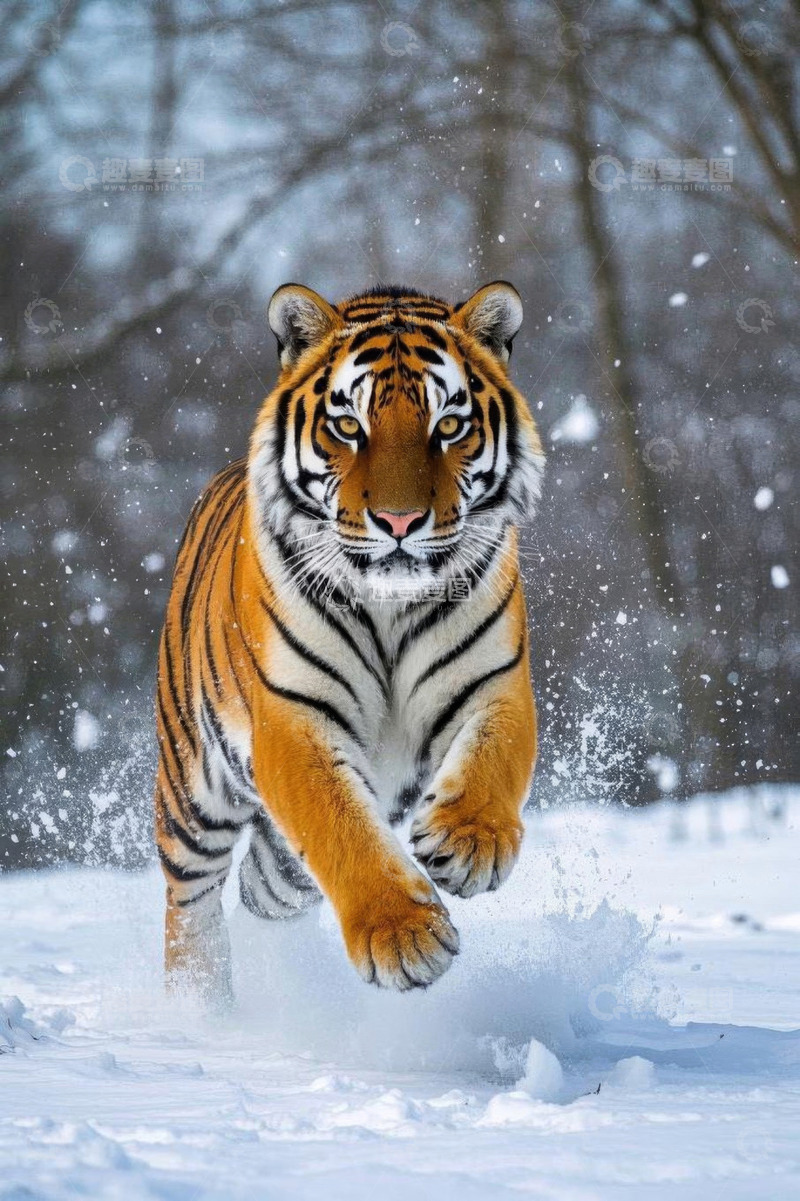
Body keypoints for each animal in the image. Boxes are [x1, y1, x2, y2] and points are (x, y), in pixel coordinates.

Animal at [154, 281, 545, 998]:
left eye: (449, 425)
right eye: (347, 426)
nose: (399, 521)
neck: (387, 605)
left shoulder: (493, 682)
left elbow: (494, 760)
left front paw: (467, 845)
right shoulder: (294, 718)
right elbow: (340, 828)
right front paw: (403, 937)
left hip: (281, 870)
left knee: (261, 888)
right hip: (191, 793)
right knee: (189, 905)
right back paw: (198, 1007)